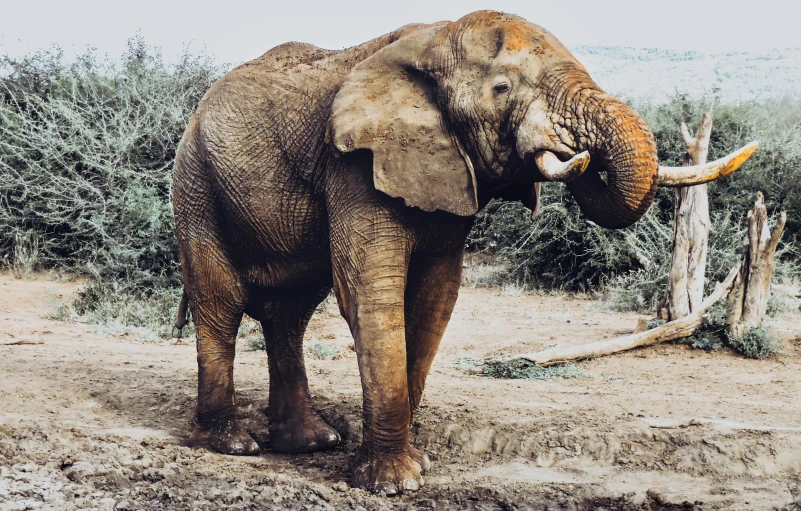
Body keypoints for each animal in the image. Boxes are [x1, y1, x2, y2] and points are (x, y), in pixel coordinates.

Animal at [172, 10, 752, 494]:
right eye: (502, 88)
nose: (578, 153)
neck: (436, 36)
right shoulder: (356, 167)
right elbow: (371, 294)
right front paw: (394, 485)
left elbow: (435, 297)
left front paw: (413, 465)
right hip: (195, 183)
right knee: (223, 303)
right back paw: (232, 444)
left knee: (289, 312)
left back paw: (313, 443)